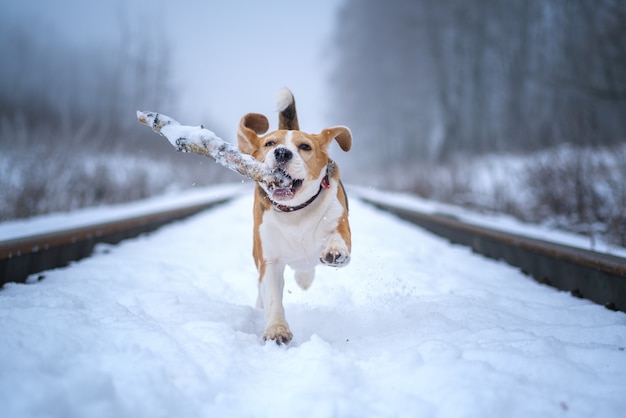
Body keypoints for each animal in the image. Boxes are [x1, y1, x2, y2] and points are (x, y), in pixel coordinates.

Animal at [236, 87, 352, 342]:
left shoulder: (340, 222)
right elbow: (272, 296)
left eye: (305, 147)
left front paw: (335, 252)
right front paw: (276, 329)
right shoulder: (269, 259)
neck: (296, 211)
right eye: (269, 143)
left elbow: (337, 237)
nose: (281, 153)